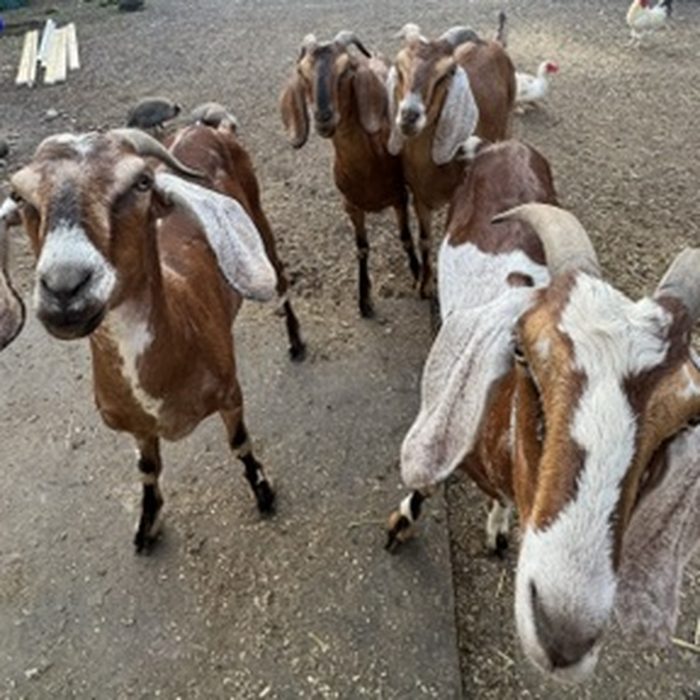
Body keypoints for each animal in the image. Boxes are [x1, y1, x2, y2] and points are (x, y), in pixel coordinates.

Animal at [4, 124, 305, 551]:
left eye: (142, 182)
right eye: (19, 195)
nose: (65, 285)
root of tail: (202, 126)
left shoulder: (230, 393)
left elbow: (240, 443)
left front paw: (263, 492)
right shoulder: (137, 427)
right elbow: (148, 468)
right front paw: (147, 524)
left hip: (260, 221)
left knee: (280, 282)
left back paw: (297, 343)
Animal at [280, 30, 420, 318]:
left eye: (346, 70)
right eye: (303, 72)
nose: (323, 116)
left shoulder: (399, 197)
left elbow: (405, 237)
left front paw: (418, 275)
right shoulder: (351, 205)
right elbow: (361, 249)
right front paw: (364, 299)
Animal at [386, 140, 700, 681]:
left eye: (688, 417)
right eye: (522, 351)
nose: (563, 631)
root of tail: (505, 145)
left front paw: (497, 529)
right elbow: (428, 479)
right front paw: (403, 520)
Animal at [387, 18, 515, 297]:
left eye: (446, 74)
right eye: (399, 67)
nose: (409, 116)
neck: (432, 169)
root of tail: (494, 43)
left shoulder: (459, 197)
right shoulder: (419, 197)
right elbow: (425, 239)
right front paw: (424, 284)